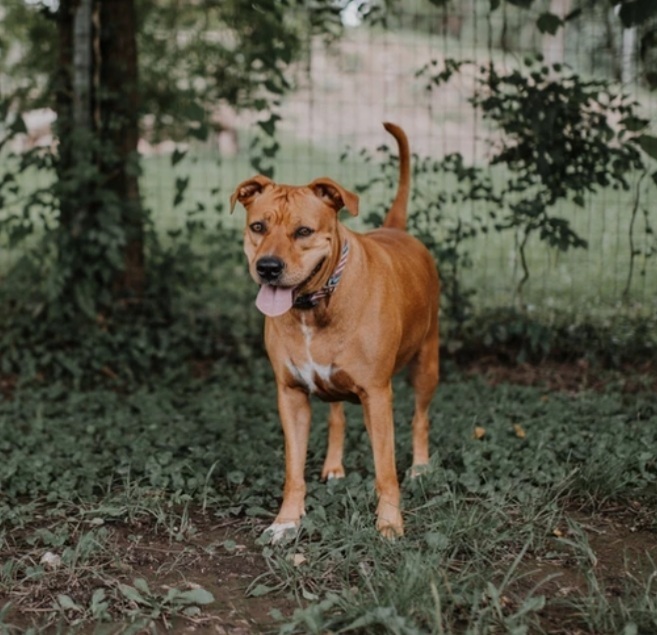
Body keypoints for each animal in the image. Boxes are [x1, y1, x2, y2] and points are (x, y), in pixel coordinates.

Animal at [228, 123, 438, 540]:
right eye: (258, 226)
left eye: (303, 231)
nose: (268, 267)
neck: (316, 304)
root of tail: (396, 230)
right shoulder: (290, 395)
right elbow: (293, 470)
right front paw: (286, 521)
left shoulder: (377, 394)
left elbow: (385, 470)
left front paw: (389, 522)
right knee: (337, 414)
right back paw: (335, 466)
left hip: (427, 364)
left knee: (419, 418)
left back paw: (421, 467)